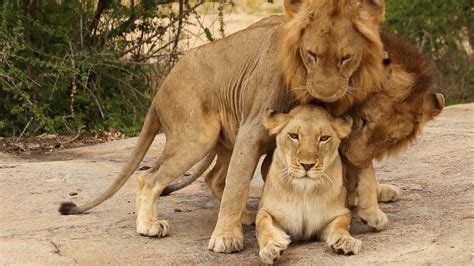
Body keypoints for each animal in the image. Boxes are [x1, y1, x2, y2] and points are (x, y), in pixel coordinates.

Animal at [258, 104, 358, 264]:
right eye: (294, 135)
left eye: (324, 138)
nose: (307, 165)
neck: (304, 191)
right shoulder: (269, 211)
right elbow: (263, 224)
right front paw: (271, 247)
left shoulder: (338, 214)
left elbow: (341, 225)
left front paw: (345, 242)